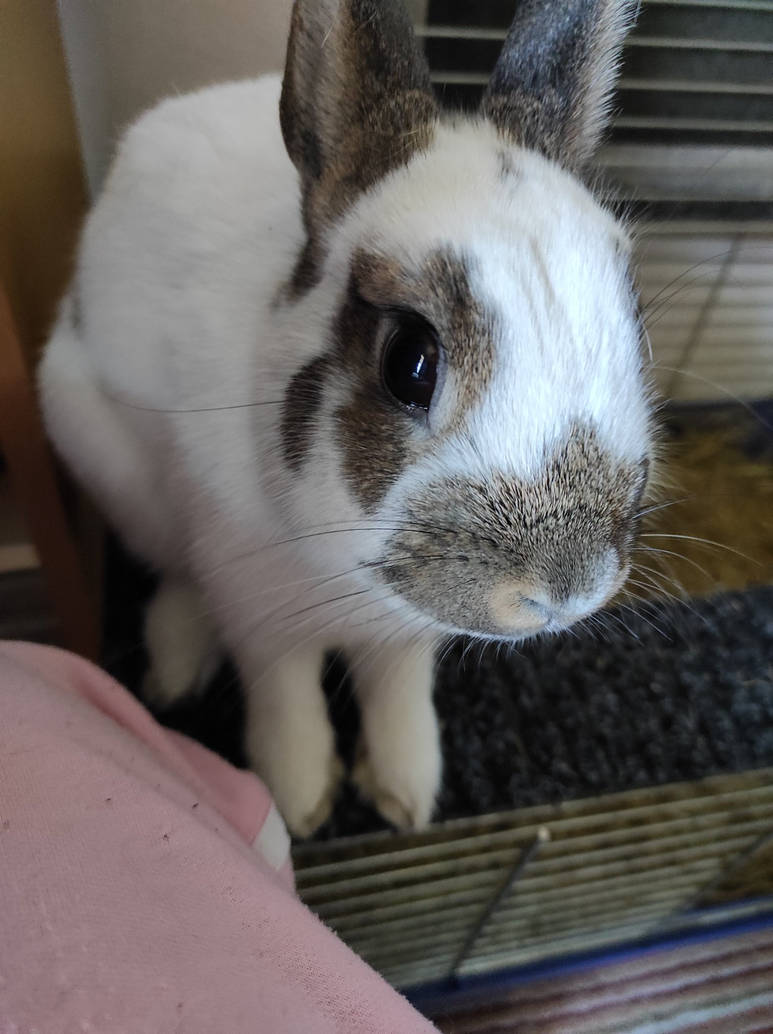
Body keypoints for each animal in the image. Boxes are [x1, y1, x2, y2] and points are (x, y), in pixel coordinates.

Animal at [39, 0, 654, 838]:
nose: (565, 586)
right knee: (171, 568)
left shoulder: (401, 638)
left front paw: (404, 795)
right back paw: (173, 668)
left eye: (632, 324)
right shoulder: (257, 612)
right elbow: (285, 697)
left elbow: (395, 691)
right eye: (408, 360)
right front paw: (300, 801)